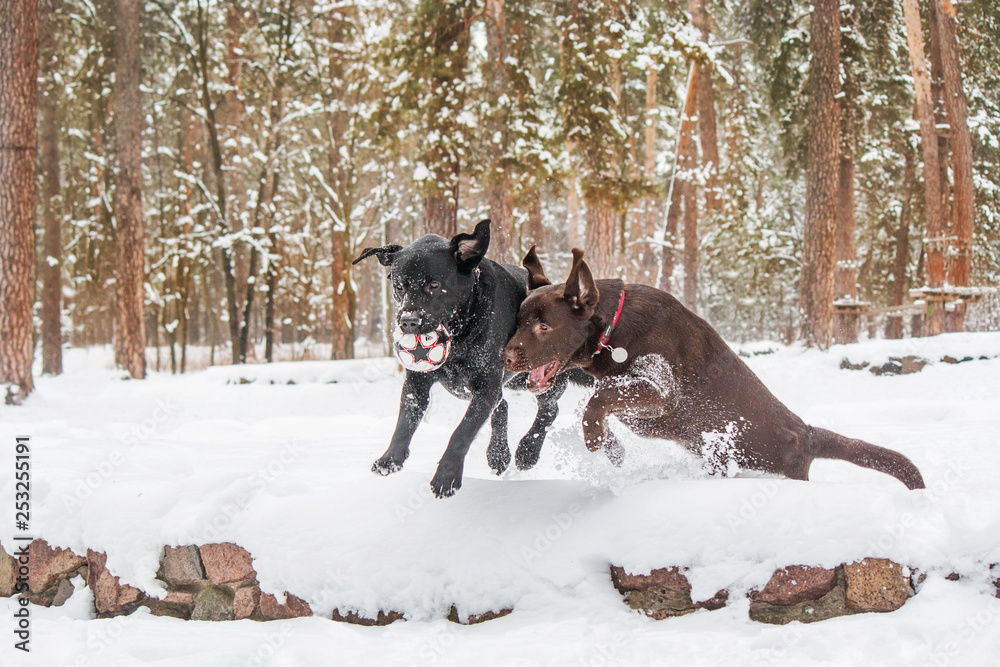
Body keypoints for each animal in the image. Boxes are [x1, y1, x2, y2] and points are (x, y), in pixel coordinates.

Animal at [354, 219, 584, 496]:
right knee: (504, 406)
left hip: (534, 376)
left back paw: (527, 451)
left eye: (434, 285)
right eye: (399, 286)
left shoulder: (486, 386)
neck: (460, 332)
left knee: (549, 410)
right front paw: (389, 460)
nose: (408, 321)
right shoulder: (417, 384)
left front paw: (447, 476)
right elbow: (404, 423)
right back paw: (498, 454)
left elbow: (462, 432)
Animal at [504, 247, 924, 490]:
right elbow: (602, 402)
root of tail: (806, 433)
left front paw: (593, 437)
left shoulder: (661, 390)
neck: (613, 327)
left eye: (545, 326)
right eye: (519, 320)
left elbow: (599, 399)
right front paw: (610, 447)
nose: (505, 357)